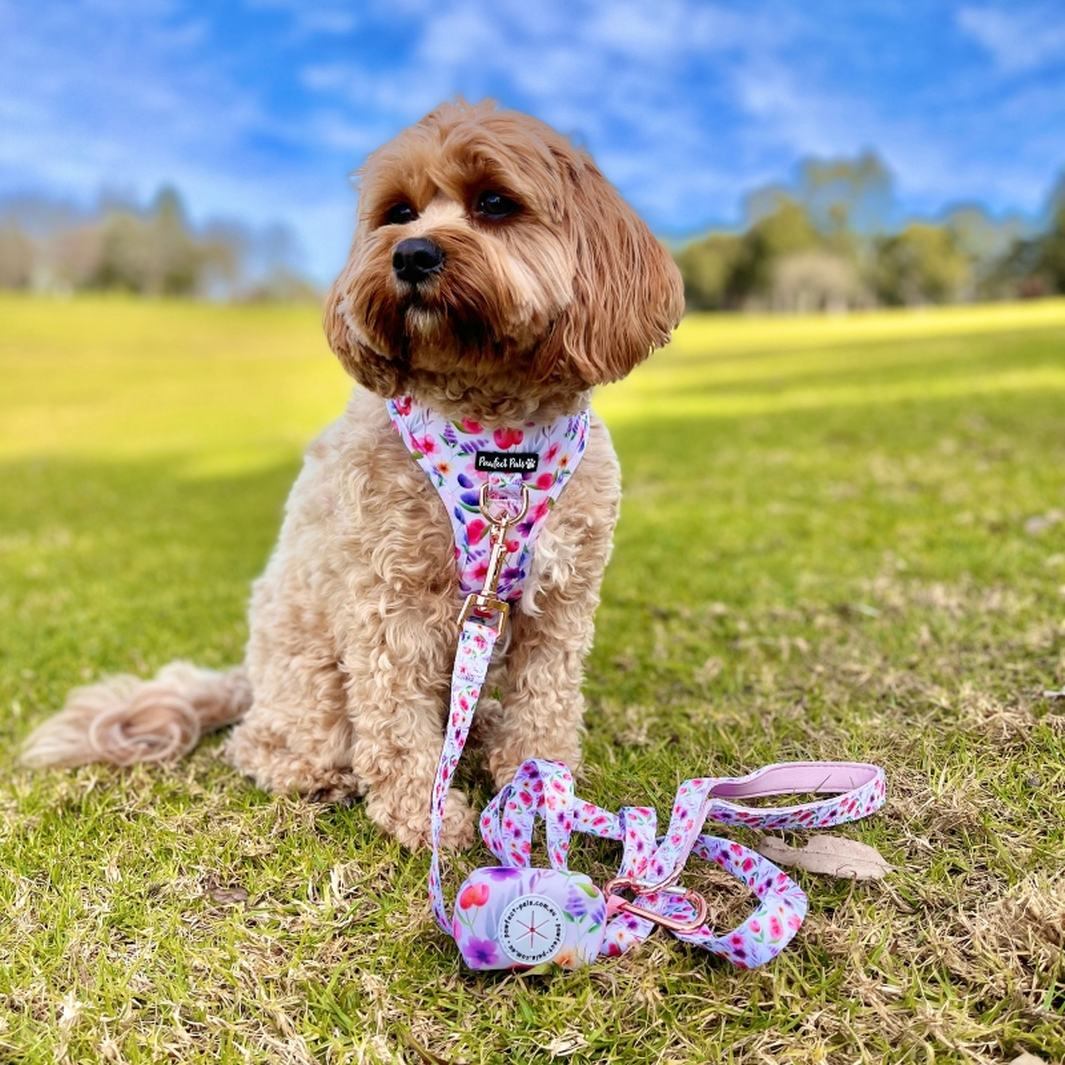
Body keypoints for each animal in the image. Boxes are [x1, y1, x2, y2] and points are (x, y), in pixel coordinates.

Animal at [22, 100, 681, 847]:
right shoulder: (386, 600)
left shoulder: (561, 603)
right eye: (399, 211)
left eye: (493, 201)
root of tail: (250, 682)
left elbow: (544, 706)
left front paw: (539, 791)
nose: (412, 253)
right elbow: (395, 722)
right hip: (308, 673)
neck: (496, 446)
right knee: (263, 743)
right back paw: (317, 773)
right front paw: (424, 817)